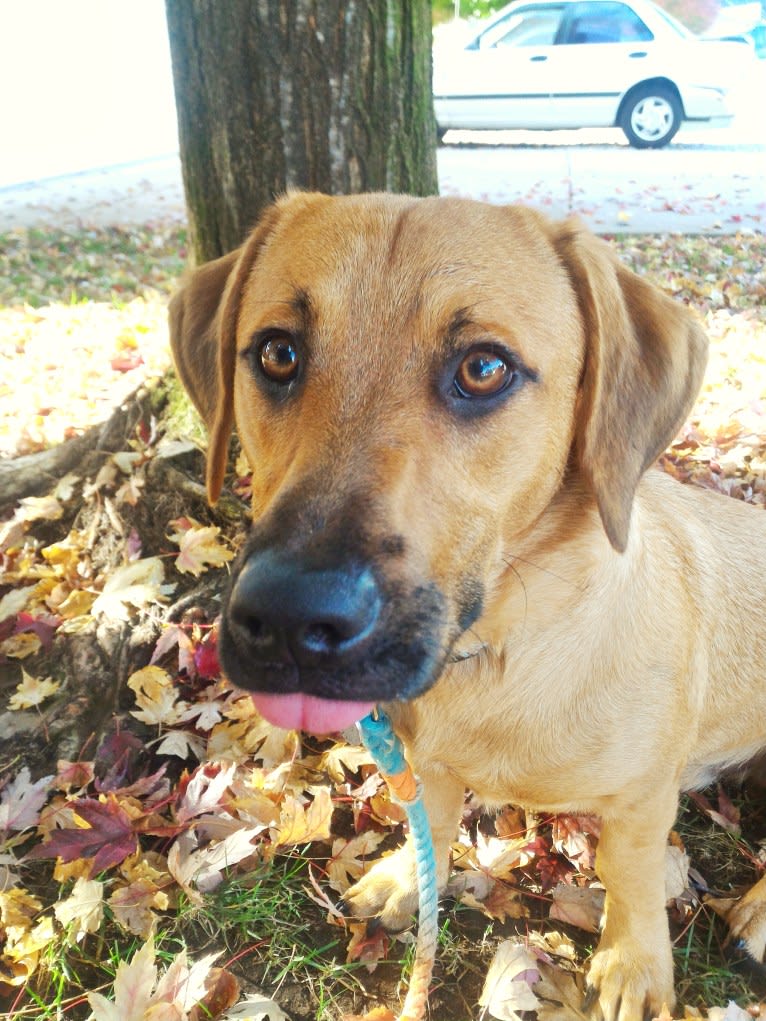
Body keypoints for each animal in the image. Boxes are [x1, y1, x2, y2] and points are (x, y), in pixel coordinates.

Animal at [169, 192, 766, 1021]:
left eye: (483, 368)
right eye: (277, 353)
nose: (287, 619)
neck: (499, 653)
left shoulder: (642, 800)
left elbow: (633, 872)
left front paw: (634, 961)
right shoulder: (429, 759)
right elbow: (436, 817)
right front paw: (408, 877)